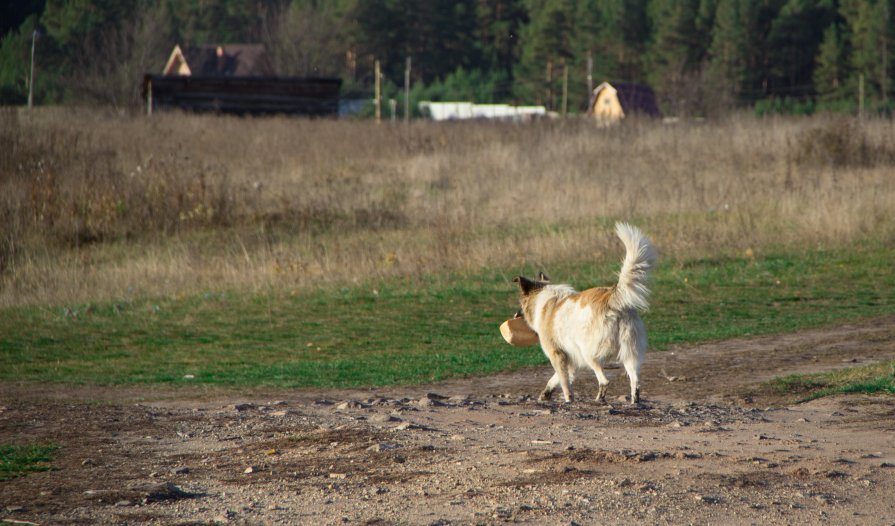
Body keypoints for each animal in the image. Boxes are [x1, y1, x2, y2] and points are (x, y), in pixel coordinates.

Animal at [512, 223, 656, 404]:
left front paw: (568, 400)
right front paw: (546, 394)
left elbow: (565, 383)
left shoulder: (557, 354)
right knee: (635, 382)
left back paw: (599, 399)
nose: (515, 315)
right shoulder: (572, 359)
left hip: (588, 352)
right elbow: (555, 379)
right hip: (630, 352)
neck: (543, 298)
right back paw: (633, 402)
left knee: (604, 381)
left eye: (520, 304)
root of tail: (611, 297)